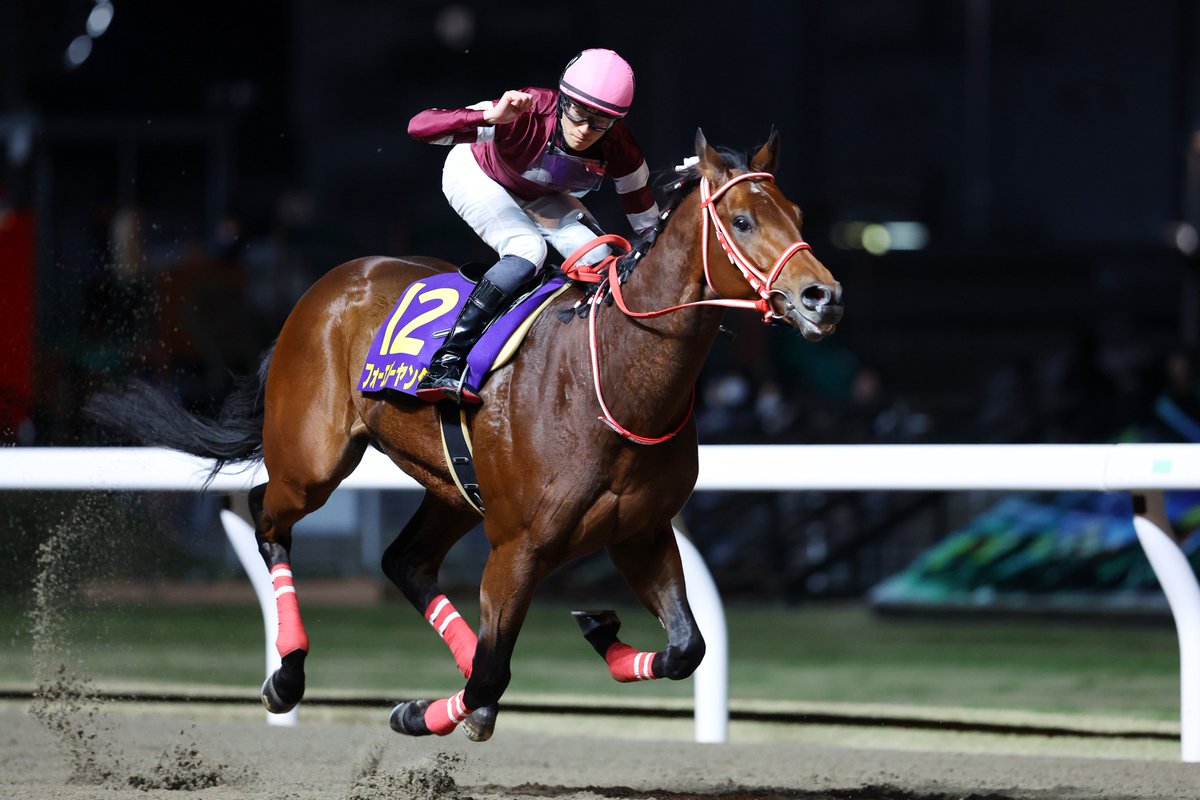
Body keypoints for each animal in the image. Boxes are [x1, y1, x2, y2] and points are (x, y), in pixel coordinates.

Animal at [87, 129, 843, 741]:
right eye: (742, 220)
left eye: (798, 216)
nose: (823, 297)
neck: (614, 373)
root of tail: (326, 285)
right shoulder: (518, 547)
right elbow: (490, 676)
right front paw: (421, 712)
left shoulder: (641, 532)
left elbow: (687, 648)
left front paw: (598, 629)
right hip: (311, 461)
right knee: (267, 518)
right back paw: (288, 676)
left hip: (449, 485)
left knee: (404, 561)